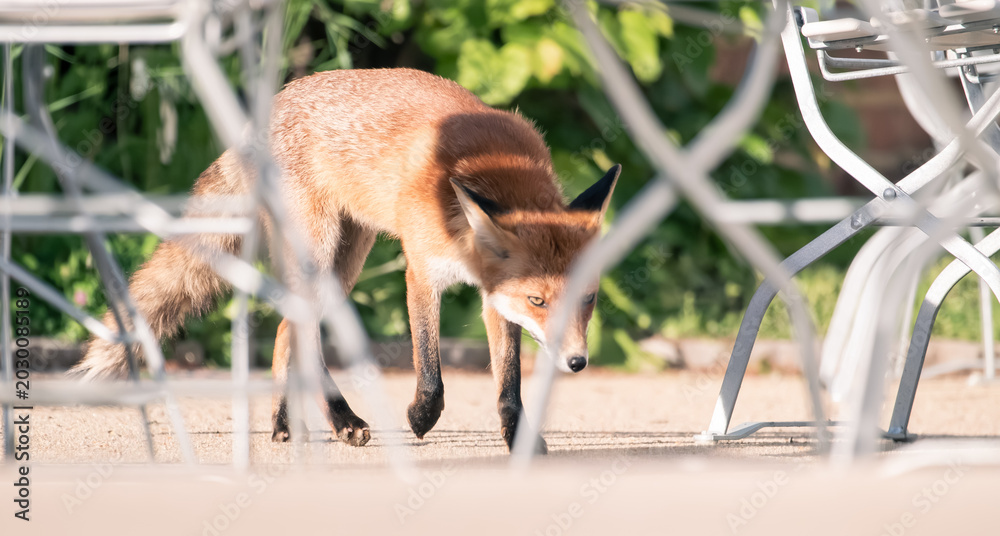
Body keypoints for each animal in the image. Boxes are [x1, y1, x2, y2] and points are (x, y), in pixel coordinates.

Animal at [71, 68, 619, 452]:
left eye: (588, 298)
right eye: (538, 300)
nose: (577, 362)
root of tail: (267, 107)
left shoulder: (492, 296)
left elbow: (508, 384)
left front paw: (517, 439)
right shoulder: (421, 271)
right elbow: (431, 369)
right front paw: (421, 418)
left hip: (346, 261)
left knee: (286, 332)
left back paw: (285, 422)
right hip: (320, 251)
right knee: (303, 333)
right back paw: (340, 419)